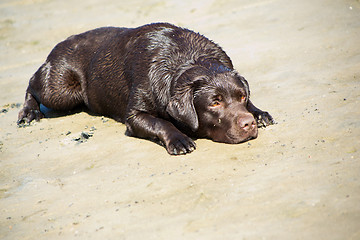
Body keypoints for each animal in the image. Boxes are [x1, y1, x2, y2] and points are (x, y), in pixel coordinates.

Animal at [16, 22, 274, 154]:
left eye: (242, 97)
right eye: (215, 102)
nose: (248, 124)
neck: (189, 59)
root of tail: (64, 41)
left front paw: (259, 113)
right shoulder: (135, 115)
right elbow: (161, 123)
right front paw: (179, 139)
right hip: (61, 89)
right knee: (32, 83)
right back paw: (28, 112)